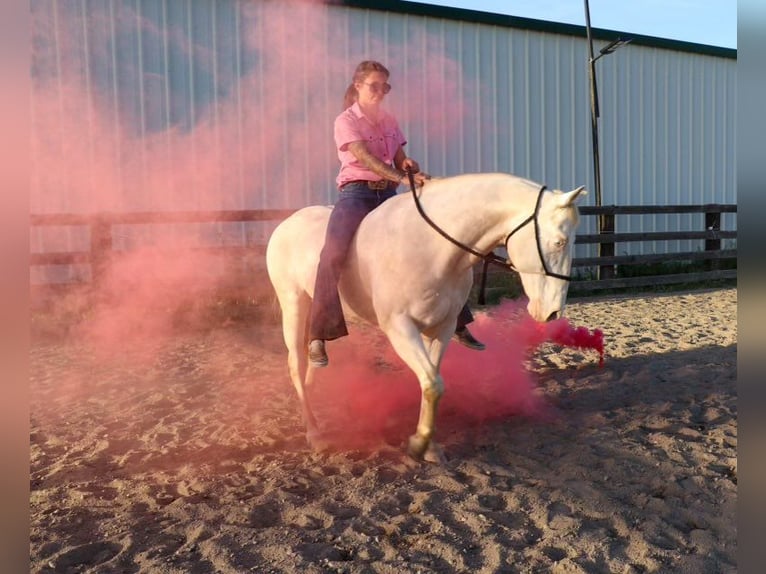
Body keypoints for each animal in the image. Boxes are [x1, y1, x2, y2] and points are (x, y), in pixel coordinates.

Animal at [266, 174, 588, 464]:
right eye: (559, 242)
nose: (553, 312)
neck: (429, 247)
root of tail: (286, 224)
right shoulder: (400, 328)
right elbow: (433, 383)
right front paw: (419, 444)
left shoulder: (441, 328)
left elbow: (431, 384)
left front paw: (429, 446)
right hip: (293, 304)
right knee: (296, 365)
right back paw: (315, 433)